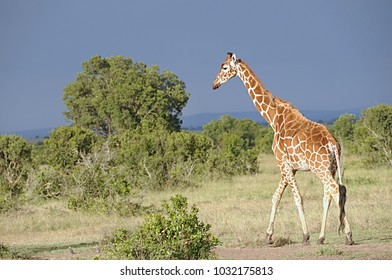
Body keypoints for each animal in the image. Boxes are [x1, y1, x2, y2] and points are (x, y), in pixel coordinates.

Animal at [213, 52, 354, 245]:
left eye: (225, 67)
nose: (214, 84)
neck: (273, 118)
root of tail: (333, 144)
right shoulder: (290, 167)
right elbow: (276, 196)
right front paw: (268, 235)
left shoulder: (282, 163)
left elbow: (297, 198)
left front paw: (305, 235)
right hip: (331, 168)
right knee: (331, 194)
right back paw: (322, 237)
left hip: (320, 168)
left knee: (335, 190)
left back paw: (348, 235)